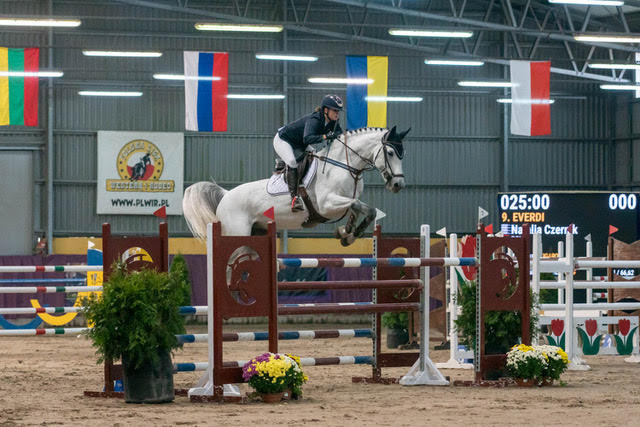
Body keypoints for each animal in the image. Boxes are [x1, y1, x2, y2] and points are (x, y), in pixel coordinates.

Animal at [182, 125, 408, 246]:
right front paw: (349, 234)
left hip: (257, 231)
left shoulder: (344, 201)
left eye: (402, 154)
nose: (398, 184)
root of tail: (225, 195)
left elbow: (359, 208)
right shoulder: (327, 205)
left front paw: (346, 233)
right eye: (390, 153)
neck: (344, 165)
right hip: (237, 232)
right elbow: (364, 208)